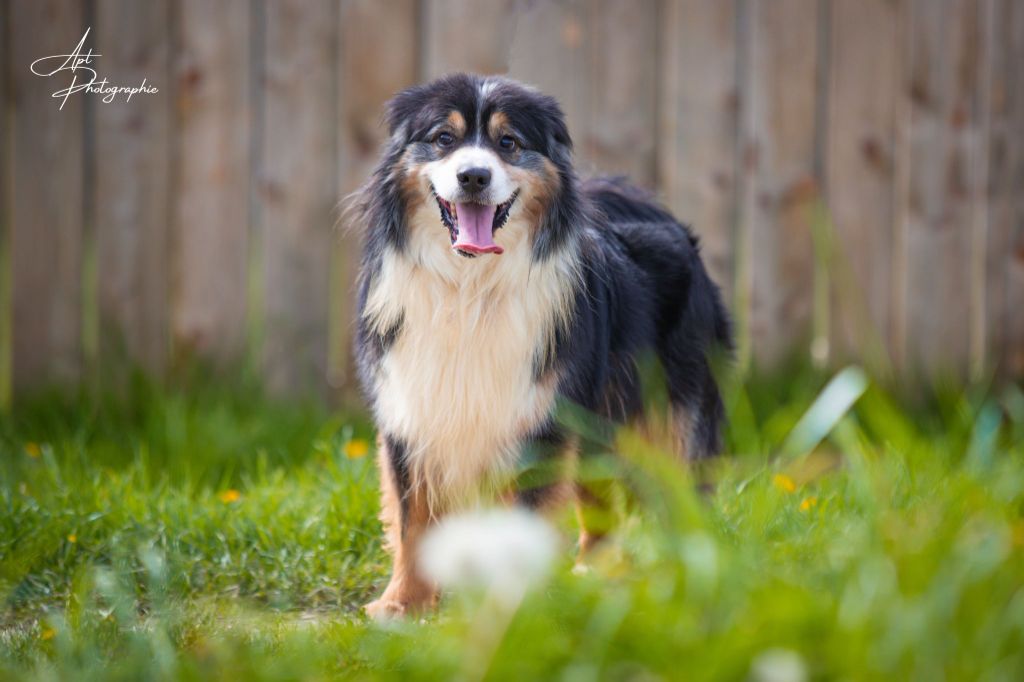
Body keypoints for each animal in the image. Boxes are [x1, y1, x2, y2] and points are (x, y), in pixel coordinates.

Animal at [356, 74, 733, 614]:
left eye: (509, 143)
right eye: (444, 139)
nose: (473, 177)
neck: (471, 287)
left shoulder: (539, 418)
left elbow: (524, 522)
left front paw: (512, 611)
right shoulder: (410, 411)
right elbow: (413, 520)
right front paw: (400, 604)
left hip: (672, 417)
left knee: (678, 495)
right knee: (600, 504)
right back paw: (594, 577)